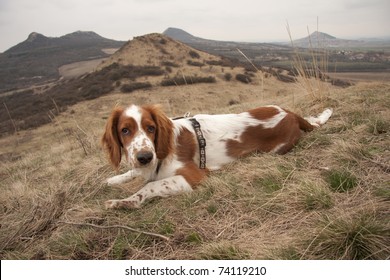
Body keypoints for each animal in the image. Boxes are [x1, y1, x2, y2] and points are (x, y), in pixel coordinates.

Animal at [101, 104, 332, 209]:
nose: (145, 157)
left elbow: (151, 185)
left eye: (151, 128)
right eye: (124, 131)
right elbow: (134, 173)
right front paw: (114, 179)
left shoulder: (193, 176)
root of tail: (291, 114)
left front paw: (123, 202)